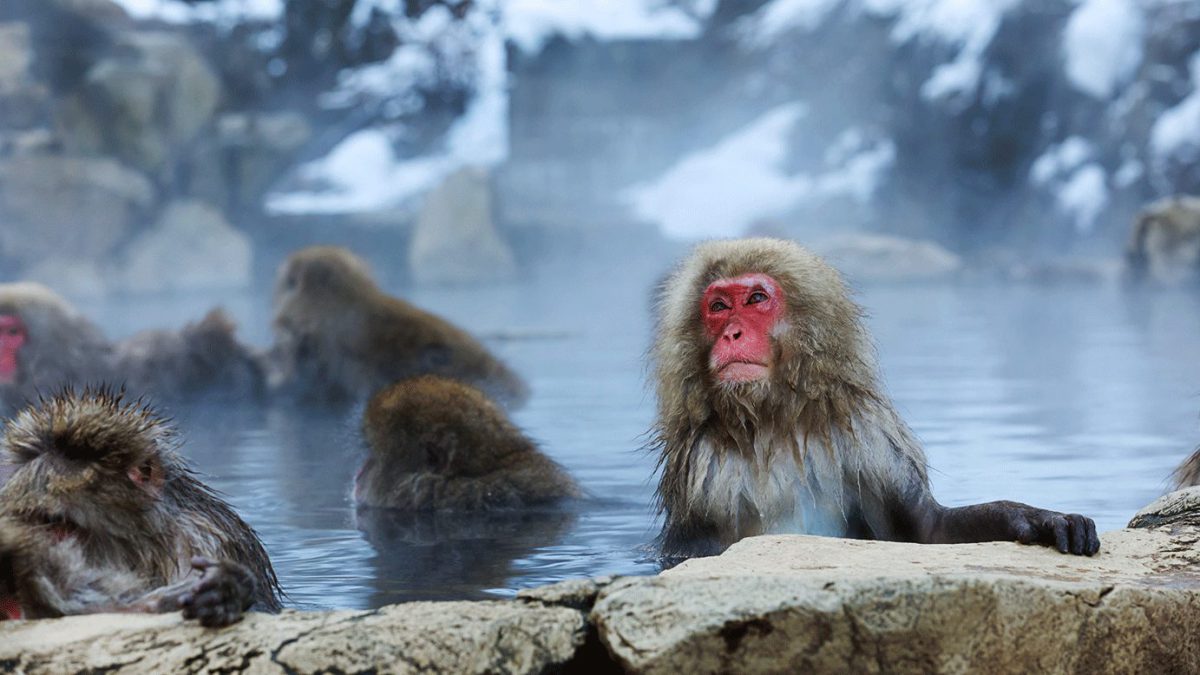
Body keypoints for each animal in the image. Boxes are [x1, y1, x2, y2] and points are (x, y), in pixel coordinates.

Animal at [652, 237, 1099, 557]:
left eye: (756, 299)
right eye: (718, 306)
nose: (731, 333)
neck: (773, 420)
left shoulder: (868, 436)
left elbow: (926, 529)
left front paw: (1039, 519)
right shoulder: (702, 469)